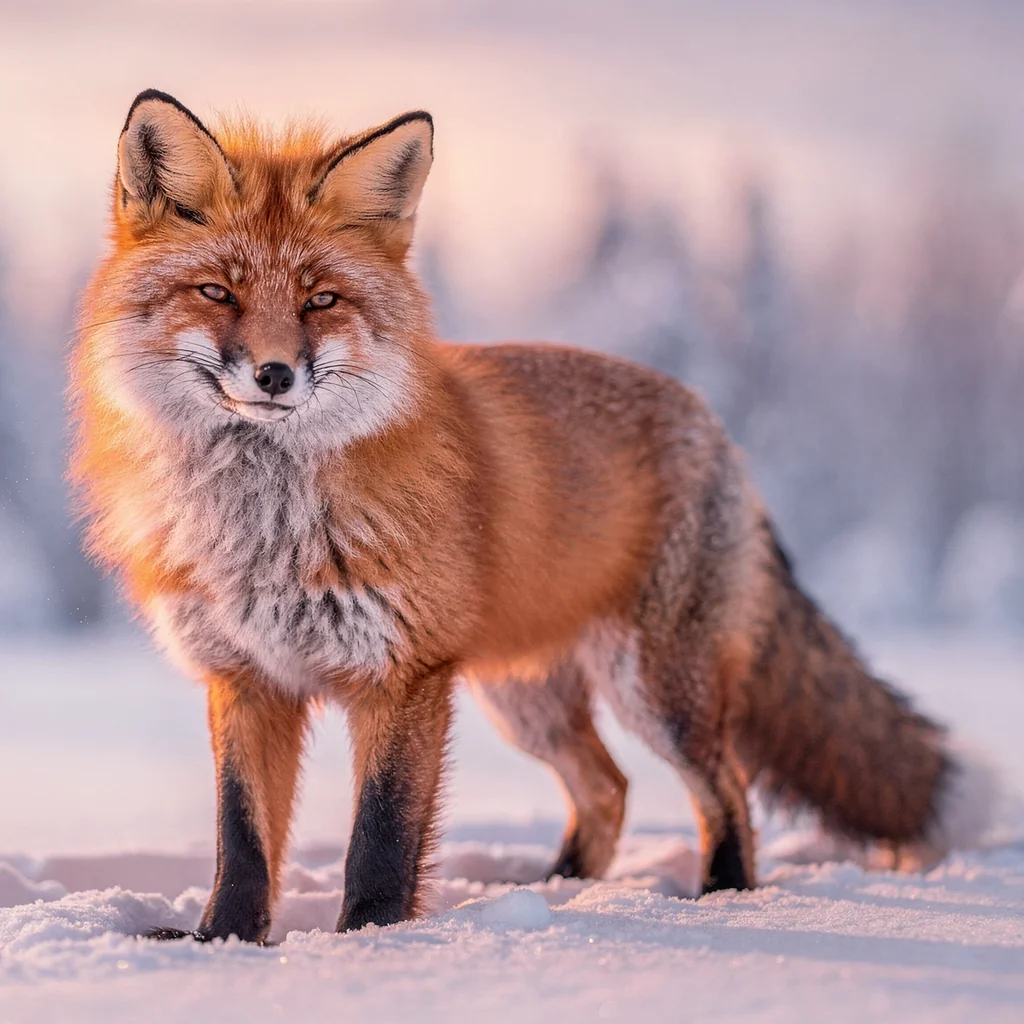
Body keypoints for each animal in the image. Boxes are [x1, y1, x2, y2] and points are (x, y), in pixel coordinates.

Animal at [70, 89, 995, 943]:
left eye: (321, 301)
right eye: (217, 292)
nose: (273, 374)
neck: (263, 525)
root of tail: (713, 424)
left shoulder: (405, 673)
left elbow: (381, 838)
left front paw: (371, 945)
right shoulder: (246, 678)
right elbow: (243, 838)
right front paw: (221, 943)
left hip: (654, 689)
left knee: (724, 785)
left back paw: (720, 897)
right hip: (526, 701)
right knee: (609, 788)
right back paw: (556, 894)